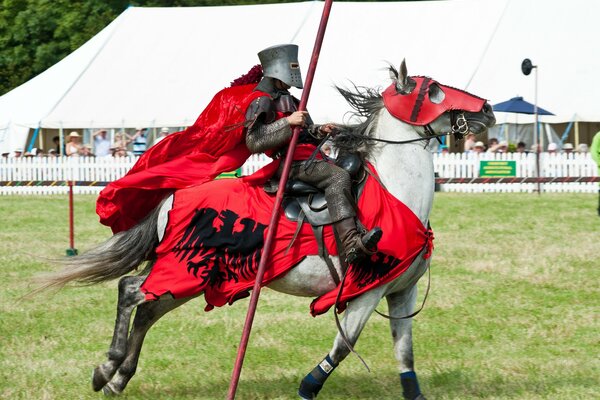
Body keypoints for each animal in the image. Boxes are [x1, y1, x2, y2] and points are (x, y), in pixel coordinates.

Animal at [39, 60, 494, 400]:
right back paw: (110, 367)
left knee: (144, 305)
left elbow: (405, 356)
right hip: (184, 270)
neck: (395, 189)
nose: (488, 110)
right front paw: (308, 387)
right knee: (133, 293)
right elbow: (342, 347)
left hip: (191, 277)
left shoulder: (401, 292)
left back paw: (115, 375)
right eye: (433, 90)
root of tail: (171, 196)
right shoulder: (367, 289)